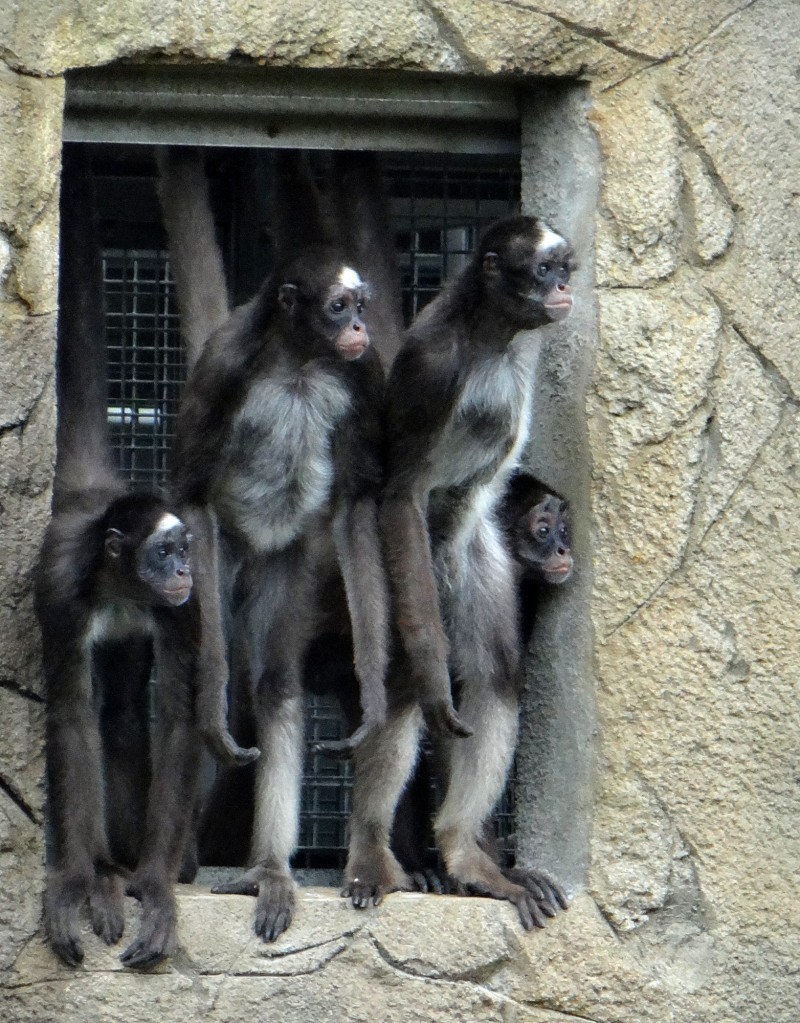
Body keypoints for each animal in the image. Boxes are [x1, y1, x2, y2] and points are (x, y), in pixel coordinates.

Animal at [36, 142, 247, 965]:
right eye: (164, 551)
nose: (186, 569)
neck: (125, 585)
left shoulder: (184, 611)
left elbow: (180, 714)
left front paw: (156, 884)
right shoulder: (64, 593)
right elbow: (72, 716)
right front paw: (78, 879)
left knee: (131, 714)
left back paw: (143, 866)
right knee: (108, 712)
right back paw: (102, 869)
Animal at [159, 146, 390, 941]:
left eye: (360, 307)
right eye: (338, 306)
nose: (360, 328)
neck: (296, 360)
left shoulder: (363, 376)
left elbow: (354, 504)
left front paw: (376, 692)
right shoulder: (227, 359)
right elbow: (193, 492)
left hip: (289, 563)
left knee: (276, 682)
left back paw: (269, 871)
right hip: (221, 558)